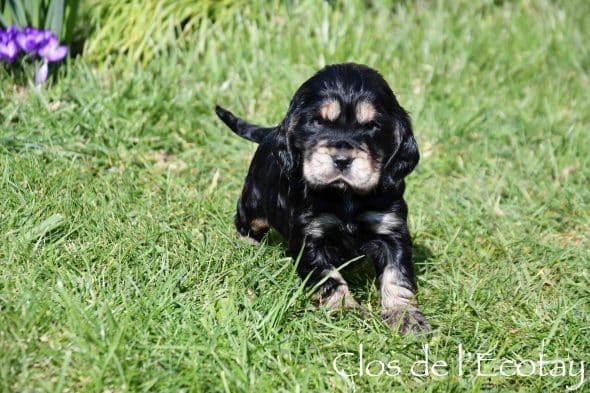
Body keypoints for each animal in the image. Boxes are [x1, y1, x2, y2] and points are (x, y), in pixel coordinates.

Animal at [215, 62, 432, 332]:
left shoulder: (390, 229)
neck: (345, 195)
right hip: (253, 201)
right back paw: (247, 247)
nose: (342, 159)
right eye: (318, 122)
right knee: (246, 221)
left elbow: (397, 275)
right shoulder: (310, 236)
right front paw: (346, 312)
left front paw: (405, 316)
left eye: (372, 126)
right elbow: (329, 278)